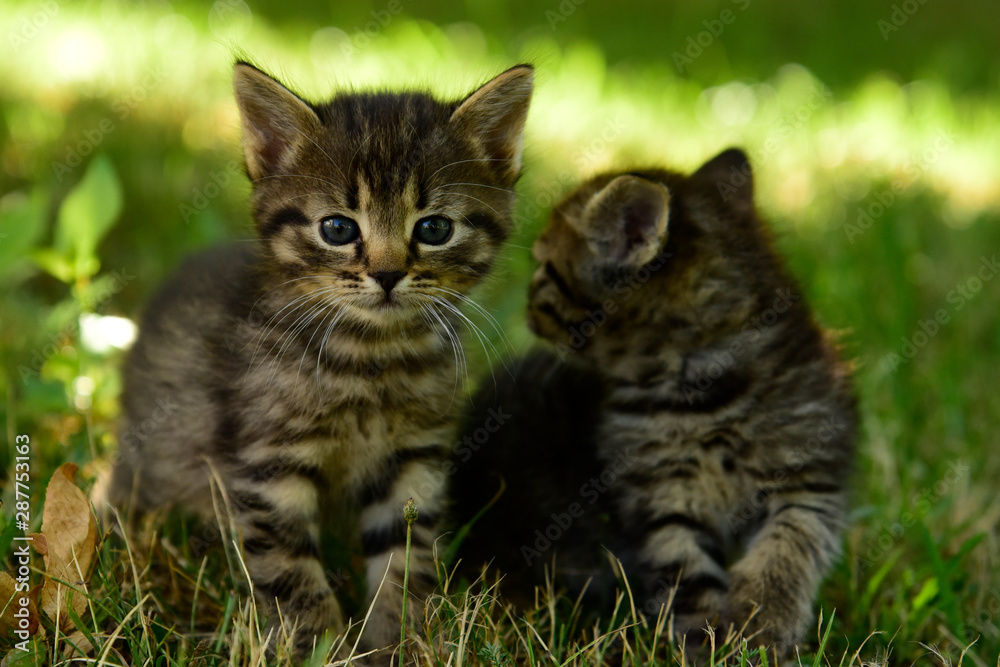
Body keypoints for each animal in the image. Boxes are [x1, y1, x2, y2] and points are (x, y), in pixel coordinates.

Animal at [104, 60, 532, 660]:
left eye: (434, 228)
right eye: (337, 228)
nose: (387, 274)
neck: (371, 359)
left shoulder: (413, 461)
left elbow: (406, 559)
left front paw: (398, 641)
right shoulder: (267, 465)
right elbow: (290, 572)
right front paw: (323, 648)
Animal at [450, 150, 856, 656]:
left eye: (544, 267)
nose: (524, 303)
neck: (703, 390)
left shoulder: (809, 477)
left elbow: (791, 547)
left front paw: (763, 625)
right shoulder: (661, 496)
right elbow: (686, 570)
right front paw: (704, 643)